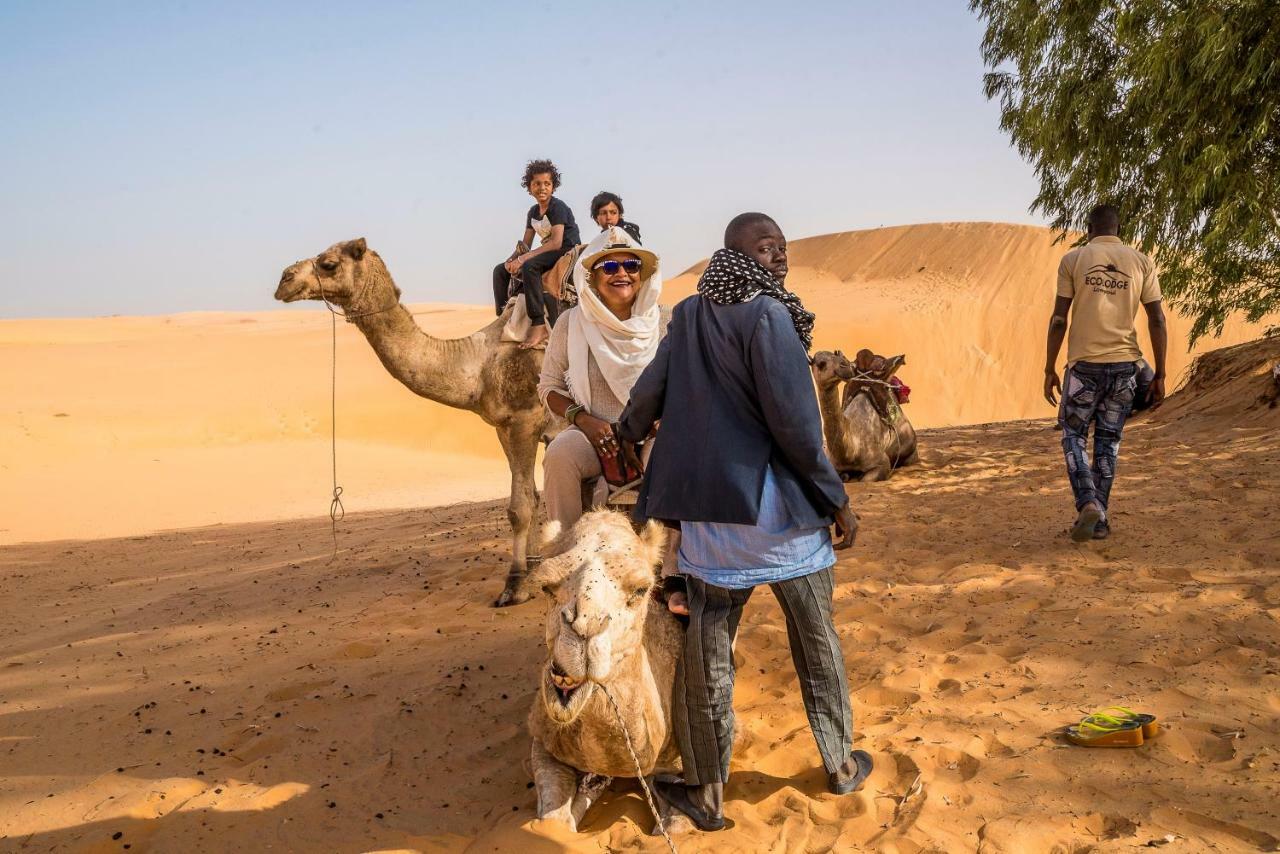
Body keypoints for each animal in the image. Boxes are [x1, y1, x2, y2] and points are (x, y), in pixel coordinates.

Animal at [270, 236, 550, 604]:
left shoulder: (525, 420)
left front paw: (514, 587)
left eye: (329, 263)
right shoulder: (504, 427)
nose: (283, 280)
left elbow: (519, 508)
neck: (477, 365)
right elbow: (533, 496)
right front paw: (535, 570)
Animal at [524, 512, 686, 829]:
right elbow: (554, 822)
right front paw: (589, 788)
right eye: (546, 587)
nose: (584, 628)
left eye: (641, 589)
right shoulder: (542, 742)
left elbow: (678, 825)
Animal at [808, 348, 921, 481]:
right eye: (821, 363)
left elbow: (866, 478)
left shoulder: (881, 462)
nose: (845, 366)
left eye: (837, 356)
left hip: (910, 448)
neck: (850, 452)